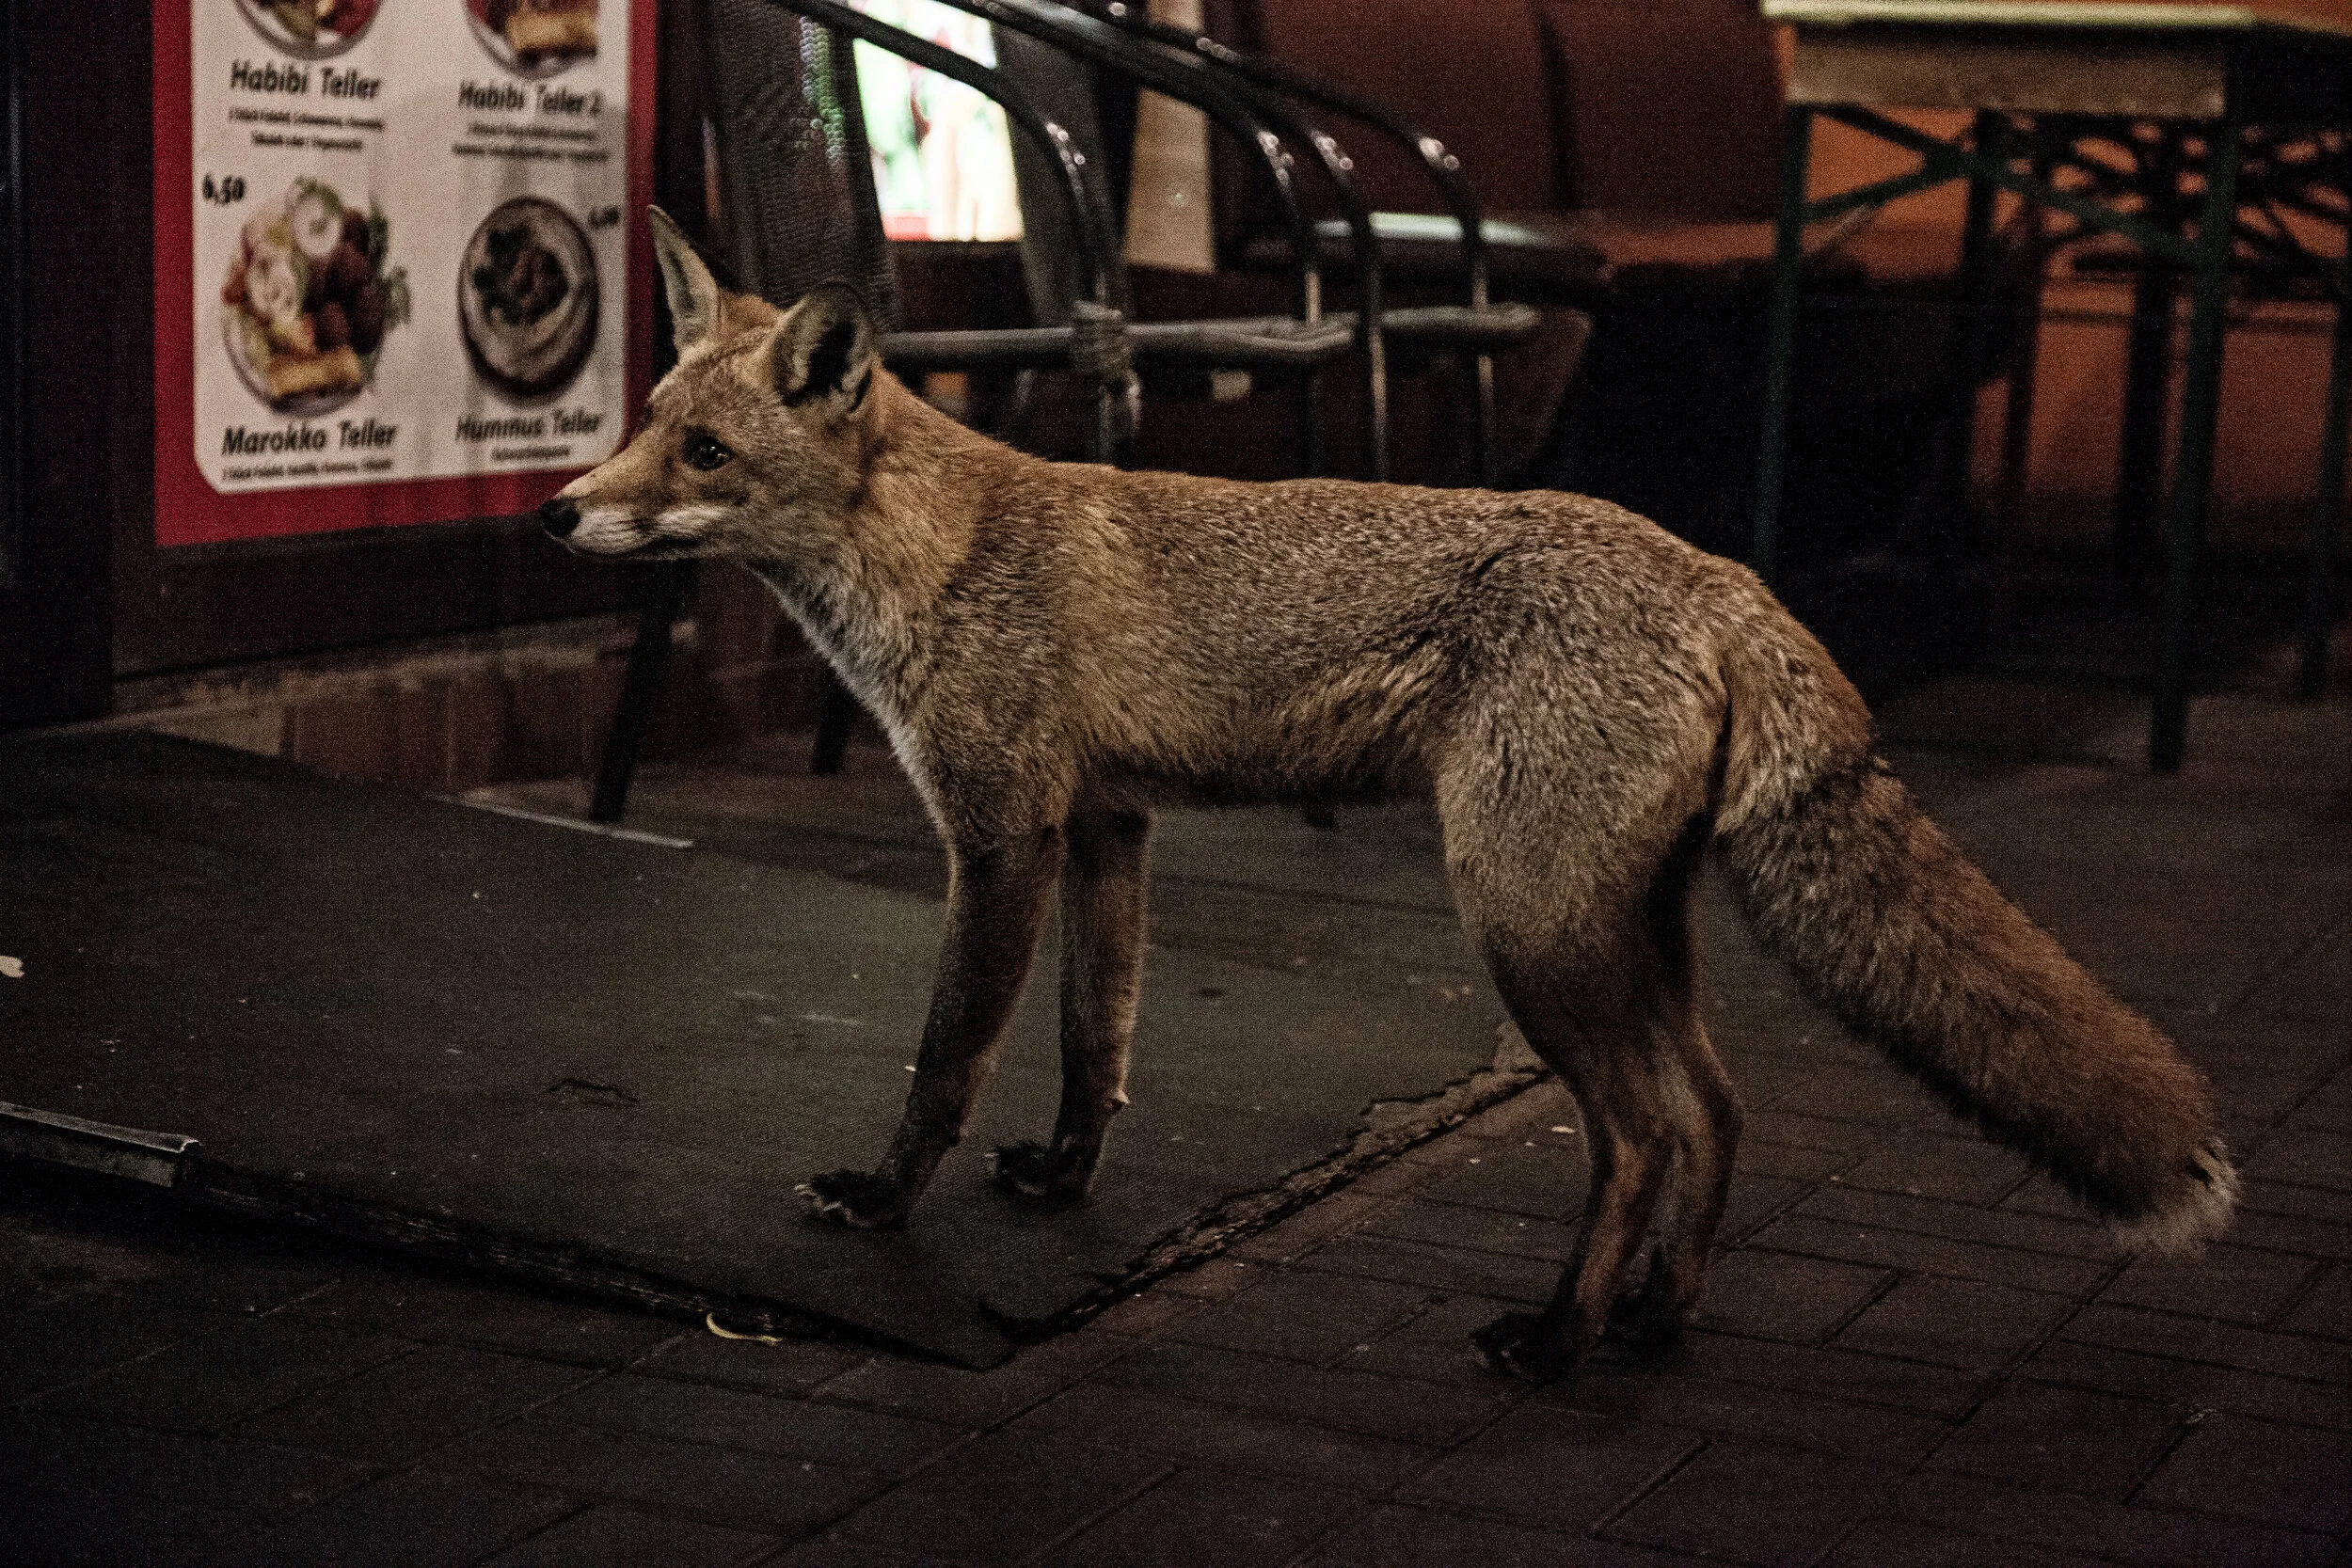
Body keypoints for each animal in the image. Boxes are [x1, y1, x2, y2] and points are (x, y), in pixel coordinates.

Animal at [538, 208, 2237, 1378]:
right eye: (645, 422)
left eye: (704, 449)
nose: (557, 514)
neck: (940, 557)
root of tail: (1723, 572)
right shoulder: (1110, 827)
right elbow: (1099, 1041)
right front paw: (1063, 1180)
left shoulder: (1003, 831)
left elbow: (944, 1057)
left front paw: (886, 1203)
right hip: (1621, 927)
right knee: (1717, 1105)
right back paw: (1654, 1320)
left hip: (1526, 923)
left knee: (1640, 1131)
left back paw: (1556, 1341)